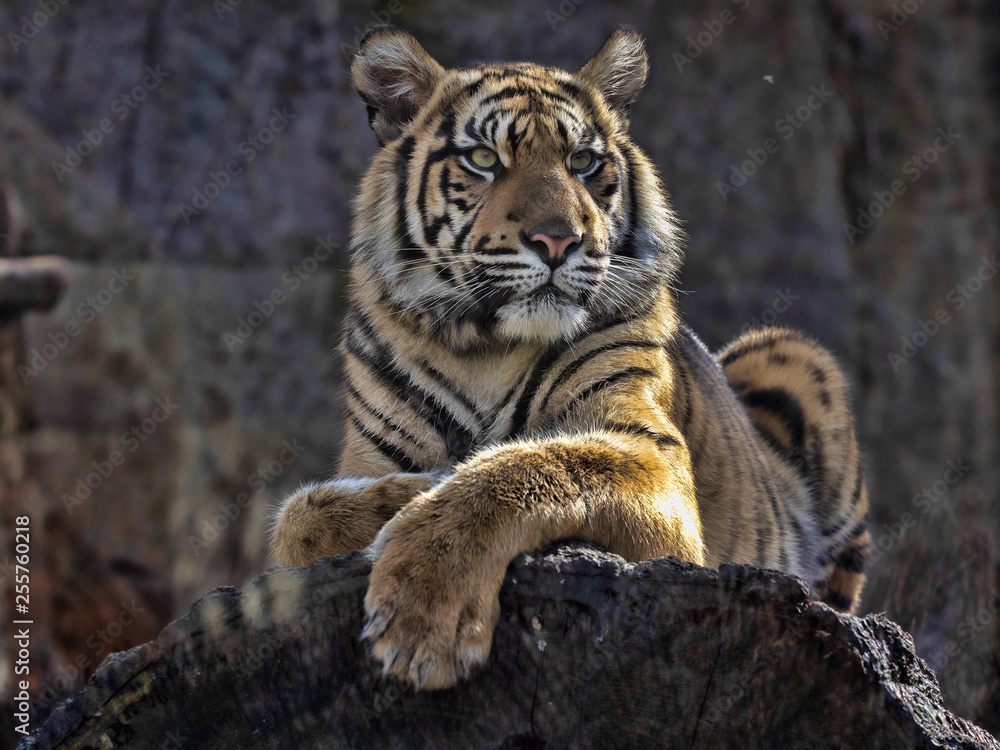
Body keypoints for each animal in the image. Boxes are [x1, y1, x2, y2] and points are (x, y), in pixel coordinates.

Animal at [269, 24, 870, 691]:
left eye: (583, 161)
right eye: (484, 160)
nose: (559, 241)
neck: (484, 348)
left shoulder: (651, 454)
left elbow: (530, 467)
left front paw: (422, 618)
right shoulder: (369, 457)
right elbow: (297, 518)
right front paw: (405, 499)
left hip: (793, 353)